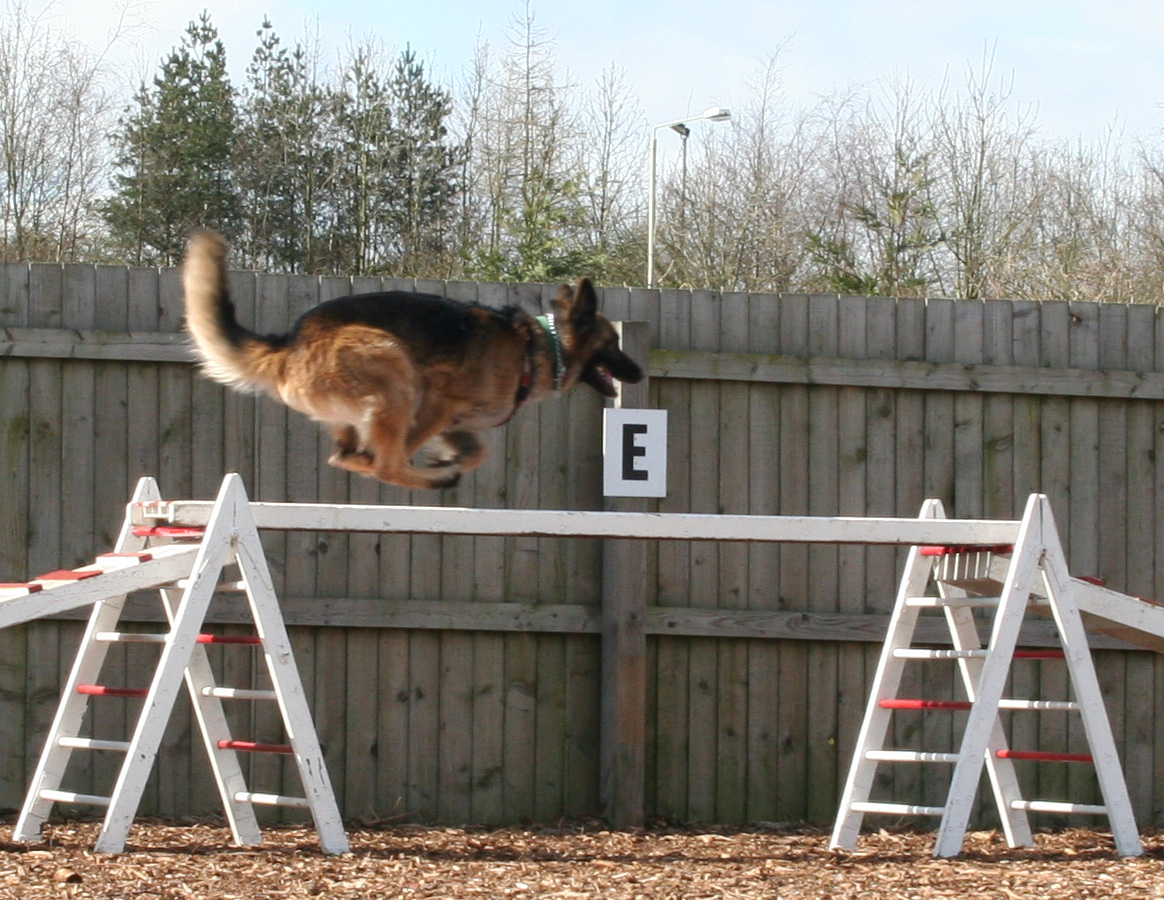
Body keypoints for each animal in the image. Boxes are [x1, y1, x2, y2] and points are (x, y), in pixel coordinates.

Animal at [181, 228, 647, 489]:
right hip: (393, 370)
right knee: (385, 464)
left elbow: (477, 452)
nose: (640, 374)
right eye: (613, 343)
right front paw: (439, 465)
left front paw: (449, 459)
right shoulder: (438, 402)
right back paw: (432, 479)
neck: (537, 347)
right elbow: (406, 451)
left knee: (345, 457)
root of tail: (292, 340)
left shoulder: (459, 423)